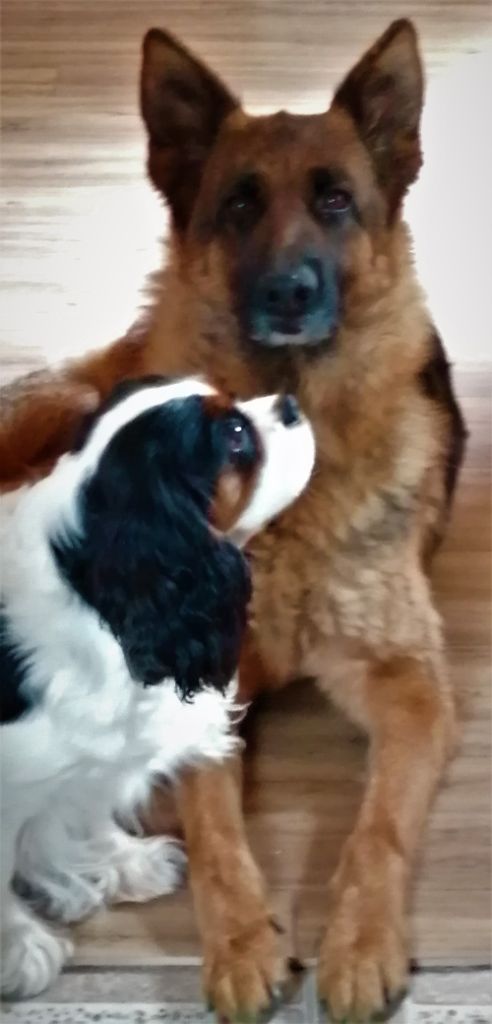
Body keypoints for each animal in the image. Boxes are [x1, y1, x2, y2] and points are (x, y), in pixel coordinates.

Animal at [0, 376, 315, 1000]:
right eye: (235, 436)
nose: (290, 403)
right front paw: (22, 947)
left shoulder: (96, 759)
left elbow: (85, 806)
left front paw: (120, 863)